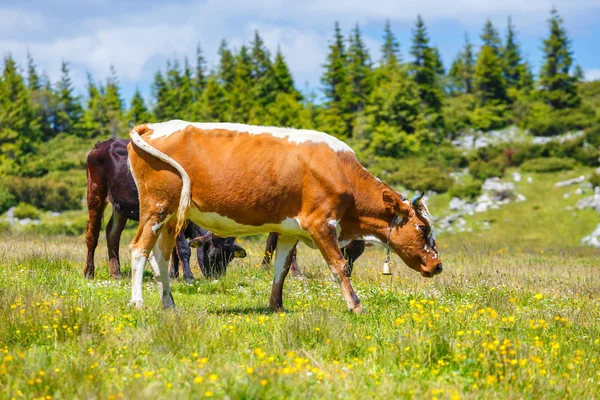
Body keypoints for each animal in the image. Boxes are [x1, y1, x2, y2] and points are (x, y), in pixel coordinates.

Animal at [126, 120, 442, 314]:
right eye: (422, 227)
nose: (438, 266)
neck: (340, 172)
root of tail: (154, 126)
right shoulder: (322, 224)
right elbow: (340, 267)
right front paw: (355, 305)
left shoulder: (291, 230)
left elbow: (282, 268)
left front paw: (276, 305)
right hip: (155, 207)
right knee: (139, 249)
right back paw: (138, 302)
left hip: (170, 217)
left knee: (161, 257)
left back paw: (169, 304)